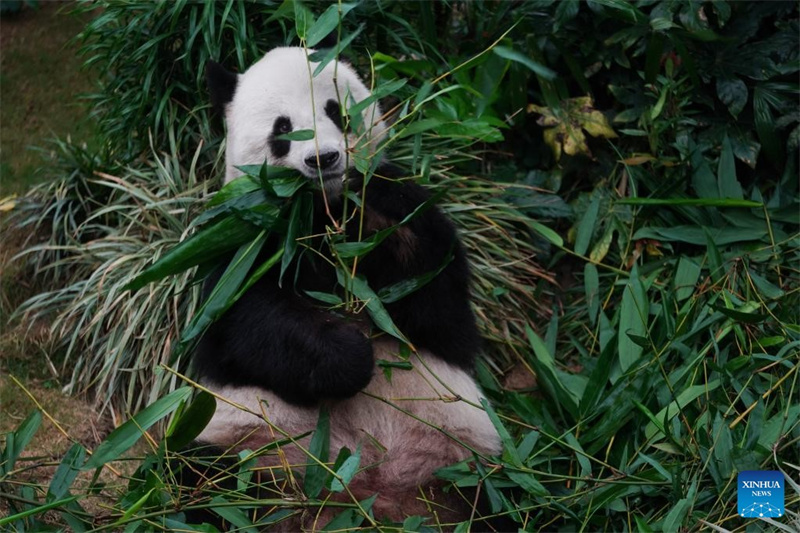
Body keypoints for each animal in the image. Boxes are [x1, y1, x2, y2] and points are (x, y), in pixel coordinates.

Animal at [193, 46, 500, 528]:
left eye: (336, 111)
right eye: (282, 129)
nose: (324, 159)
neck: (321, 211)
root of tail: (362, 499)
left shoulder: (409, 213)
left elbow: (444, 315)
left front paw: (372, 222)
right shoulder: (240, 244)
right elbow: (243, 326)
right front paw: (350, 356)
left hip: (465, 464)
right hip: (241, 449)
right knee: (199, 487)